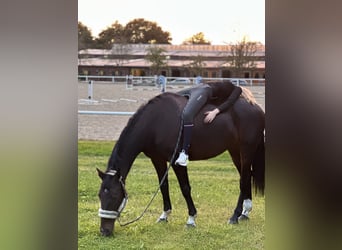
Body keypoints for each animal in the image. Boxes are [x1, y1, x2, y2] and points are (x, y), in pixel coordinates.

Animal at [96, 87, 264, 236]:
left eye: (114, 195)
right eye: (99, 195)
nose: (104, 231)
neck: (155, 122)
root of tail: (256, 107)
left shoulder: (176, 161)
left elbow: (185, 188)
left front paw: (191, 219)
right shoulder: (157, 159)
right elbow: (163, 186)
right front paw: (164, 216)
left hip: (246, 150)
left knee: (244, 179)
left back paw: (235, 216)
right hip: (235, 151)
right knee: (246, 177)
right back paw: (245, 212)